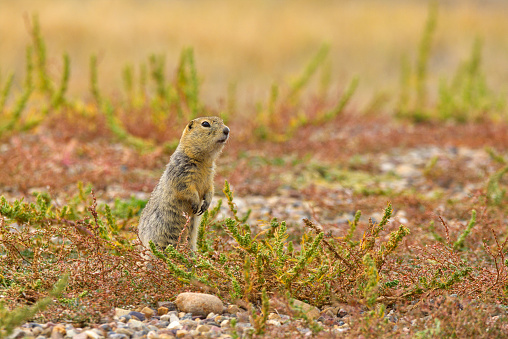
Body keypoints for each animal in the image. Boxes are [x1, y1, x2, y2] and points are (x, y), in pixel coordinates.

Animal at [137, 117, 228, 252]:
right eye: (205, 123)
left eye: (222, 121)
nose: (227, 130)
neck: (203, 161)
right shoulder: (181, 171)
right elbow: (185, 188)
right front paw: (195, 202)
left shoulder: (210, 176)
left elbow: (210, 189)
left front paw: (206, 204)